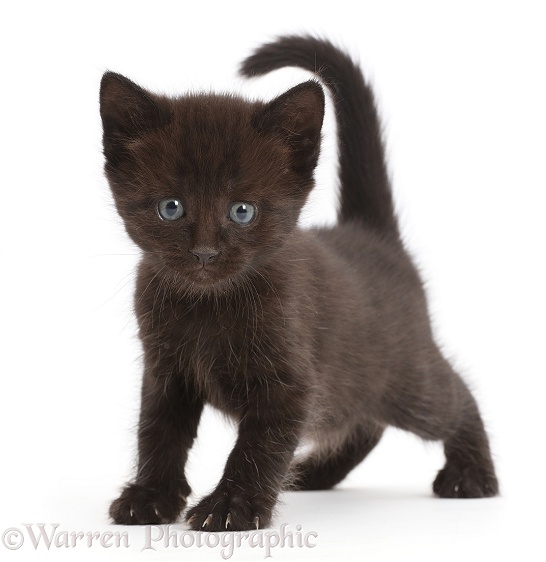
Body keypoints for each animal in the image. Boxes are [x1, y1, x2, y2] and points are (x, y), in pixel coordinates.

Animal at [99, 35, 498, 528]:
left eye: (242, 211)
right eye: (170, 207)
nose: (205, 253)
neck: (210, 303)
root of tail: (371, 234)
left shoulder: (289, 383)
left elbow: (257, 446)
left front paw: (231, 506)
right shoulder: (165, 372)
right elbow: (158, 432)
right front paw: (150, 496)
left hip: (405, 376)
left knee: (453, 399)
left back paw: (472, 475)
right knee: (361, 422)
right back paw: (314, 471)